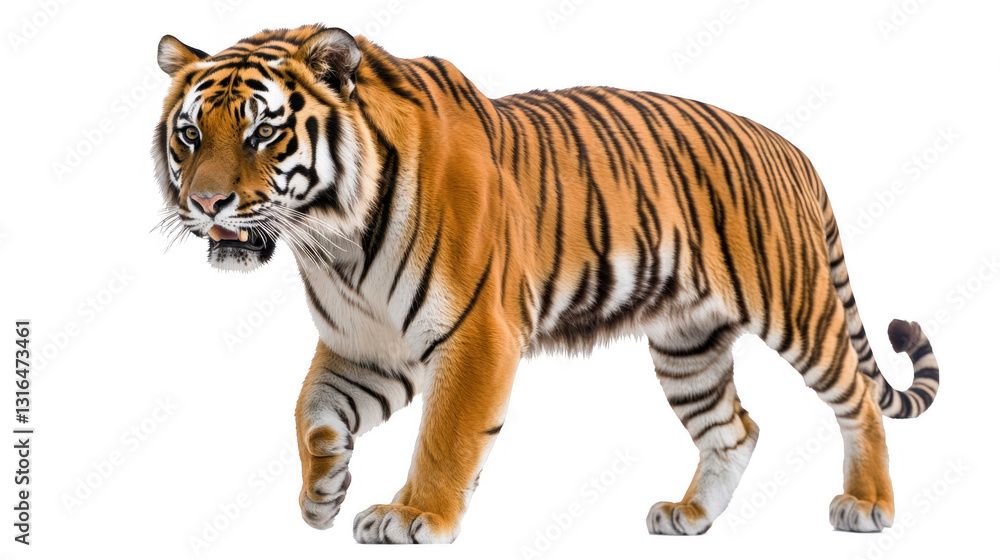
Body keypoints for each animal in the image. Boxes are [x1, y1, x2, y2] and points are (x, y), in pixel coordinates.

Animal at [152, 24, 940, 543]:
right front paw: (322, 493)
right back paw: (689, 517)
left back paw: (867, 507)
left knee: (856, 401)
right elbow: (310, 410)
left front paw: (413, 515)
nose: (206, 203)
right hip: (687, 345)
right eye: (190, 135)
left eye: (262, 132)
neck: (333, 242)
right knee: (735, 429)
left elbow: (445, 438)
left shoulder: (476, 334)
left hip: (796, 308)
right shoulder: (366, 347)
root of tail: (792, 148)